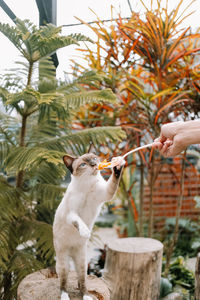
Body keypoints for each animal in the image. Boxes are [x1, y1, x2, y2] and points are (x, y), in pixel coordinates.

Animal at [52, 152, 124, 300]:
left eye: (94, 158)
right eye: (83, 164)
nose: (94, 164)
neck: (87, 186)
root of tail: (72, 253)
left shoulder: (106, 193)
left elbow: (114, 180)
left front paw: (117, 164)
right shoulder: (72, 214)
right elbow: (79, 221)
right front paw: (85, 232)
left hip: (82, 263)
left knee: (82, 282)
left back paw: (86, 295)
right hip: (63, 264)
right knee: (63, 284)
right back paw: (65, 295)